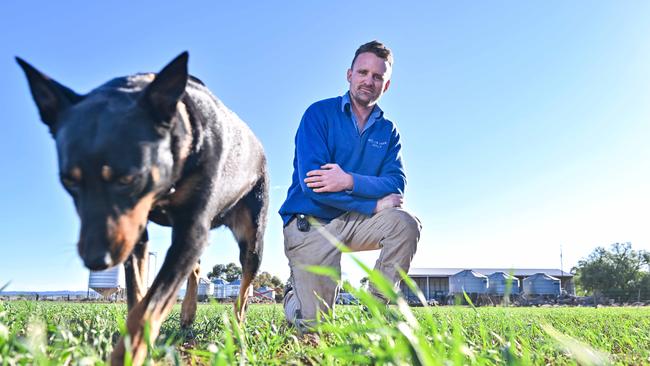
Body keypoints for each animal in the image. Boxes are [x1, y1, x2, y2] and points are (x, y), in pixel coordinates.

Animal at [16, 52, 268, 366]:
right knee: (196, 269)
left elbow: (148, 307)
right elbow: (137, 296)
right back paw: (187, 315)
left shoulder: (191, 231)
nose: (96, 260)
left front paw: (126, 355)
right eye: (68, 181)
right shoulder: (136, 232)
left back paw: (237, 331)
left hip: (252, 236)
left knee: (244, 289)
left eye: (128, 178)